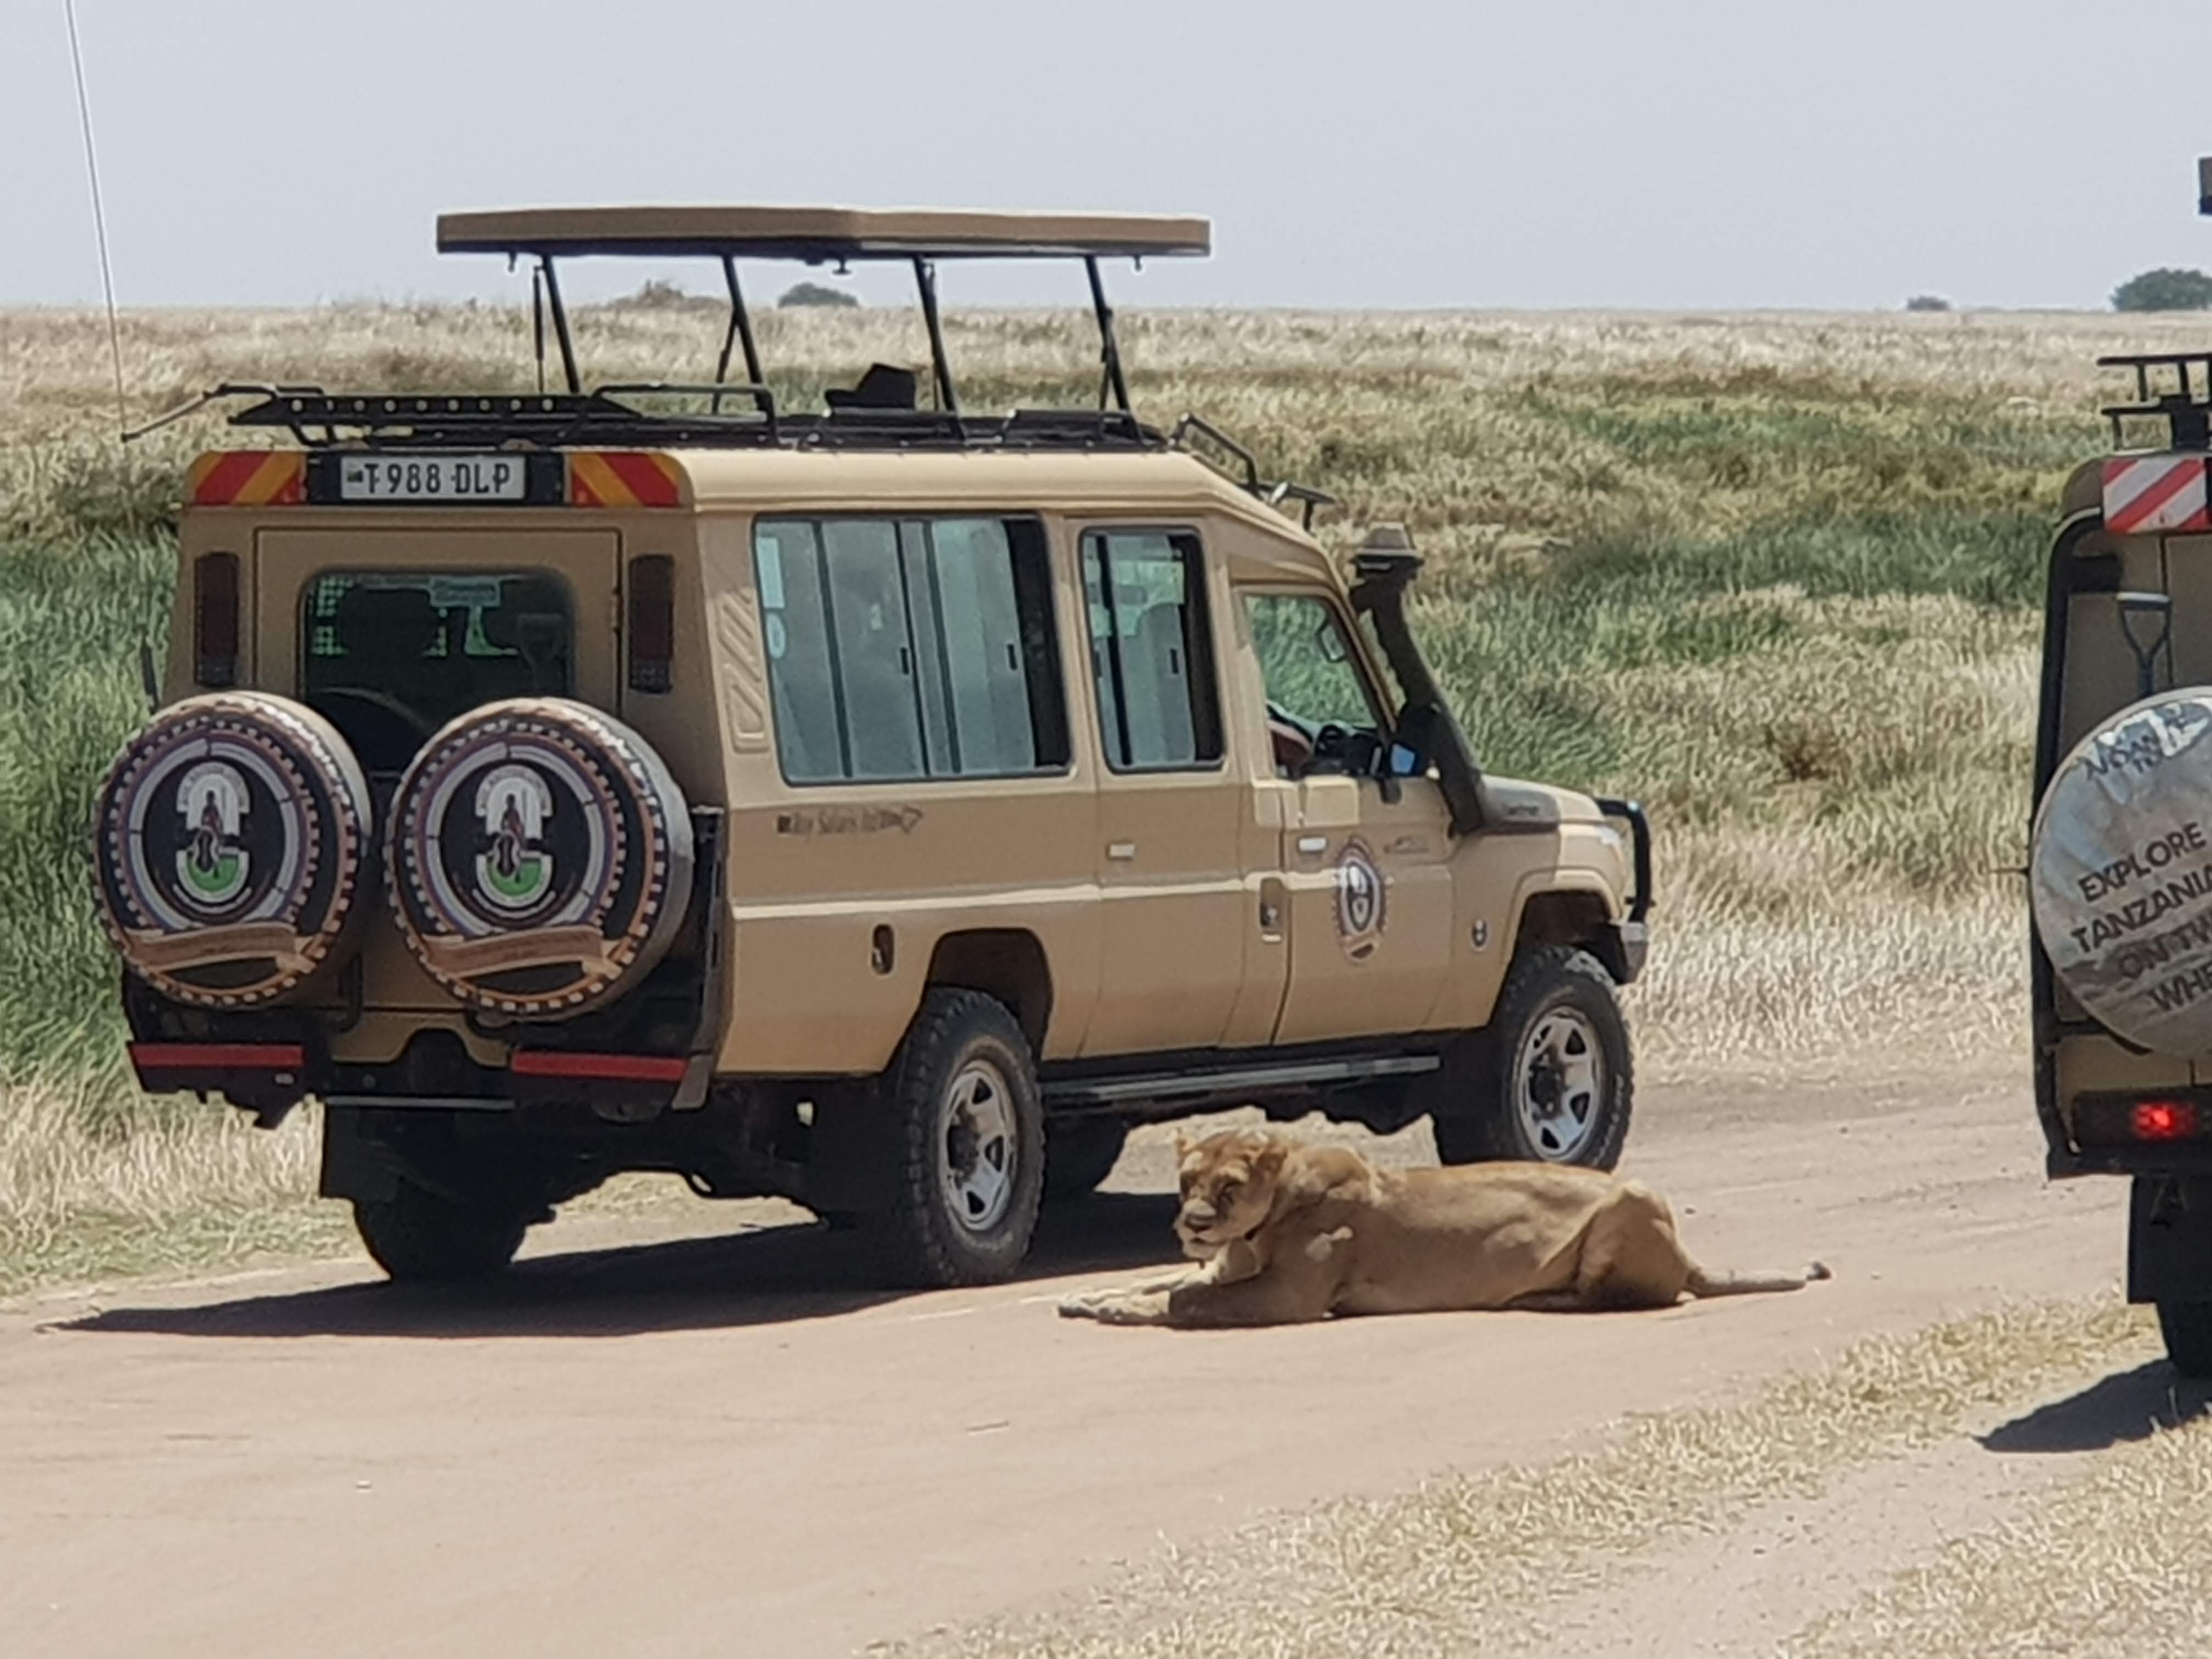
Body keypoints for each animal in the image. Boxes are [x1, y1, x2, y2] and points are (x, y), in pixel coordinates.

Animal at [1057, 1127, 1828, 1328]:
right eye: (1187, 1182)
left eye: (1229, 1188)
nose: (1191, 1223)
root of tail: (1690, 1253)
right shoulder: (1227, 1264)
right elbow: (1163, 1280)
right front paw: (1093, 1297)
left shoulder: (1291, 1299)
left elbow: (1188, 1300)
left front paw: (1121, 1311)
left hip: (1632, 1197)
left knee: (1641, 1296)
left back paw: (1540, 1298)